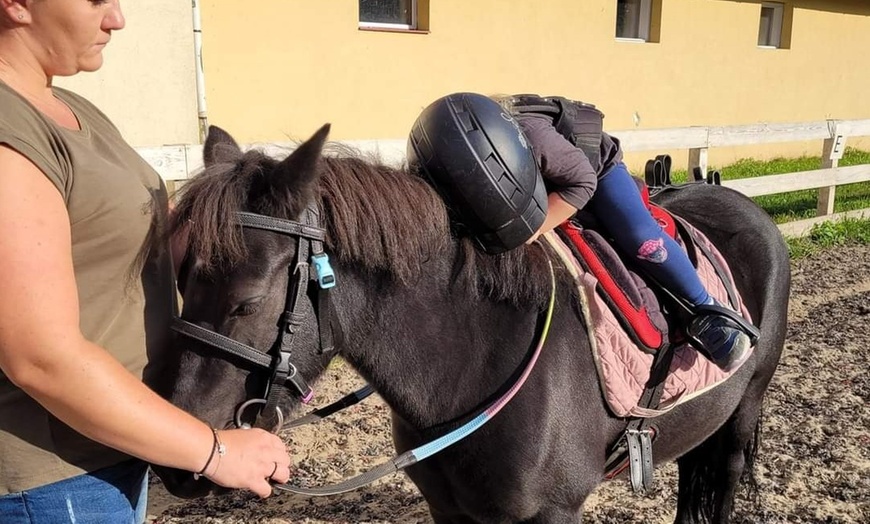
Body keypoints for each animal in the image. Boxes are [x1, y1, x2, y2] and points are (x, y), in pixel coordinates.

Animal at [153, 125, 792, 520]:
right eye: (182, 286)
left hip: (744, 412)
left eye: (245, 302)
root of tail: (748, 206)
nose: (177, 466)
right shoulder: (450, 509)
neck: (475, 361)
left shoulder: (554, 512)